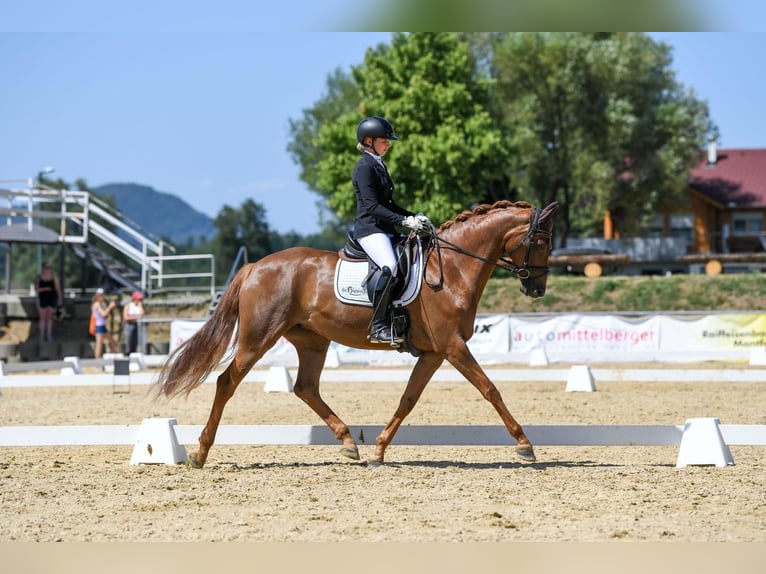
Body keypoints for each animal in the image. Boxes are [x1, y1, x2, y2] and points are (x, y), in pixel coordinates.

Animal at [158, 201, 560, 468]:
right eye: (542, 243)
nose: (537, 290)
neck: (453, 269)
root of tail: (256, 265)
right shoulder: (453, 346)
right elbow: (490, 389)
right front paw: (525, 445)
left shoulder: (434, 352)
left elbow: (408, 399)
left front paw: (379, 450)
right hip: (258, 337)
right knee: (227, 382)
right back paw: (199, 452)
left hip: (312, 340)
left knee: (306, 387)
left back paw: (349, 442)